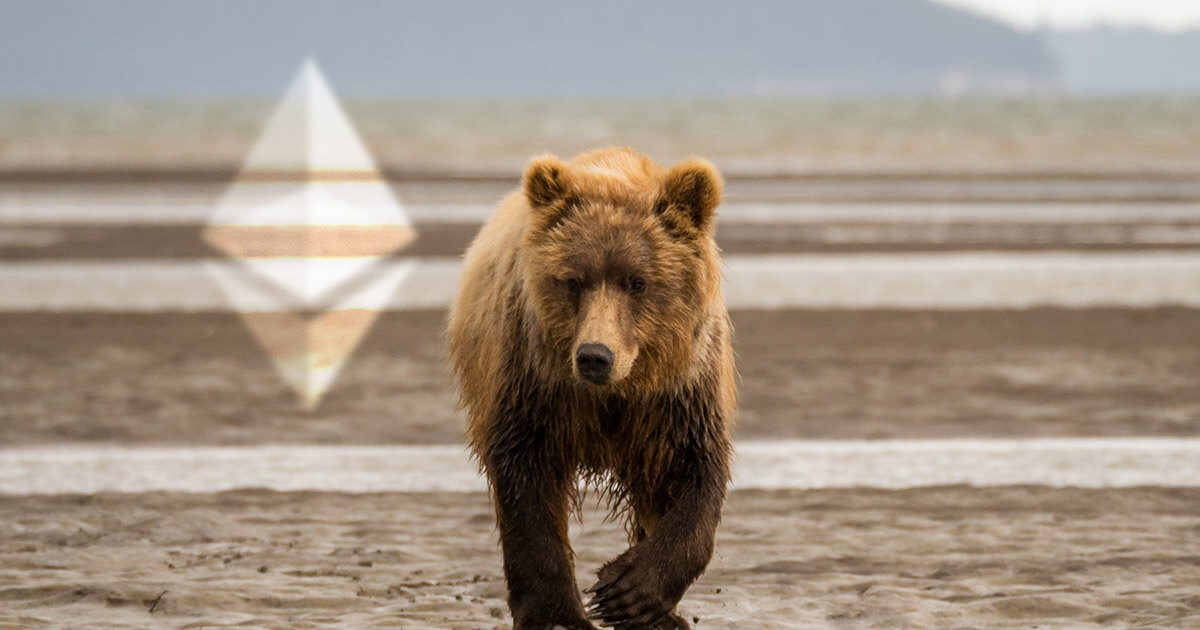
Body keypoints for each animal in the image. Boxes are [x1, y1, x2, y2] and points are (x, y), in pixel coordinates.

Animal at [448, 147, 736, 630]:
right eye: (573, 280)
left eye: (638, 281)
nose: (594, 355)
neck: (617, 391)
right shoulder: (534, 385)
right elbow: (527, 482)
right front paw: (557, 613)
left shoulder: (679, 393)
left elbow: (692, 473)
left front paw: (630, 592)